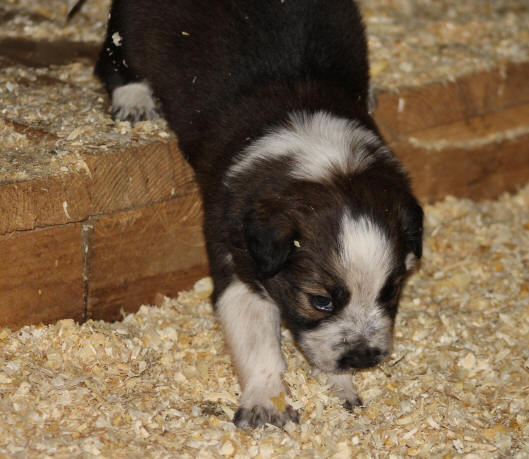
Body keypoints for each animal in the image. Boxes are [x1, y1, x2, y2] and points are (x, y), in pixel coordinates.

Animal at [95, 0, 422, 428]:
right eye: (320, 301)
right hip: (129, 28)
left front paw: (339, 387)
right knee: (112, 59)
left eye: (392, 291)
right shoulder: (238, 263)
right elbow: (258, 341)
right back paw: (135, 100)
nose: (364, 358)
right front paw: (266, 401)